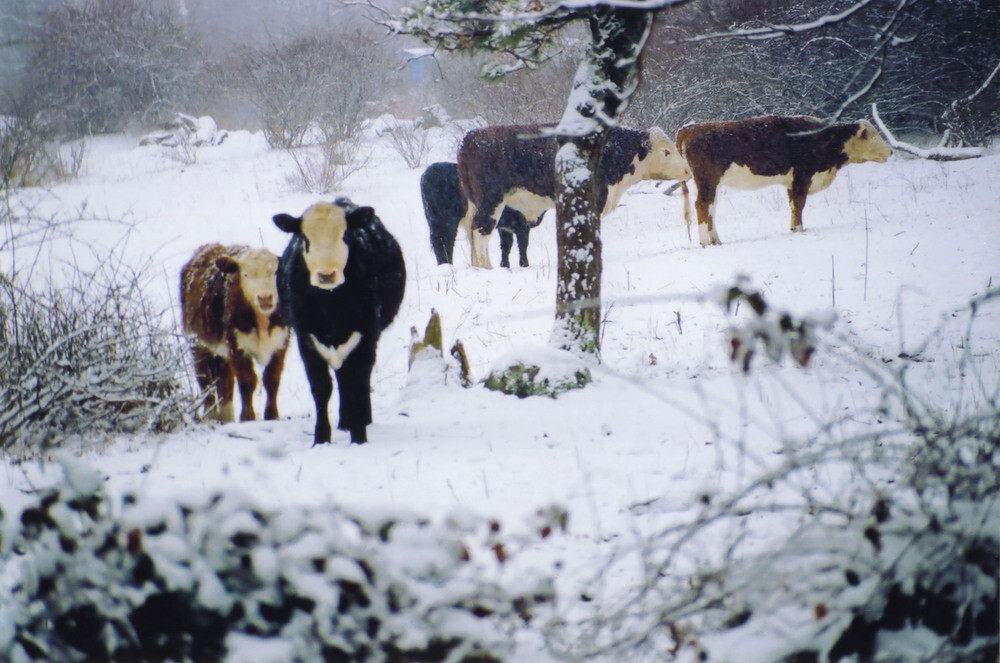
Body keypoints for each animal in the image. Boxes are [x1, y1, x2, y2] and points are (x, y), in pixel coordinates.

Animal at [180, 244, 290, 423]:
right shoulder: (237, 345)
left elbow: (272, 379)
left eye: (275, 272)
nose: (265, 298)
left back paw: (227, 418)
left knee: (225, 384)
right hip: (197, 344)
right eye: (245, 274)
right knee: (205, 381)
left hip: (222, 353)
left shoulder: (281, 342)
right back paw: (211, 416)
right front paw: (247, 416)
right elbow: (247, 380)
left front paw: (272, 414)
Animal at [273, 198, 406, 445]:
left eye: (344, 235)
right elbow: (321, 387)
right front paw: (321, 438)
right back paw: (345, 422)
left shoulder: (366, 334)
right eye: (305, 239)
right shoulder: (306, 338)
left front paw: (359, 437)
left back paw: (358, 420)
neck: (331, 306)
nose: (326, 275)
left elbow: (356, 383)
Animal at [456, 124, 691, 268]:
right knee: (481, 231)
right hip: (491, 202)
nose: (687, 170)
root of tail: (471, 137)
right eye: (665, 152)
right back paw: (486, 268)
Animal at [675, 115, 893, 246]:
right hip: (707, 181)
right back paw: (705, 242)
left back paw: (716, 241)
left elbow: (793, 205)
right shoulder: (802, 177)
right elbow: (799, 204)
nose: (891, 151)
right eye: (872, 136)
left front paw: (793, 228)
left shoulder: (791, 182)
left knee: (711, 208)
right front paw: (799, 229)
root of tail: (691, 127)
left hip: (713, 184)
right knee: (702, 205)